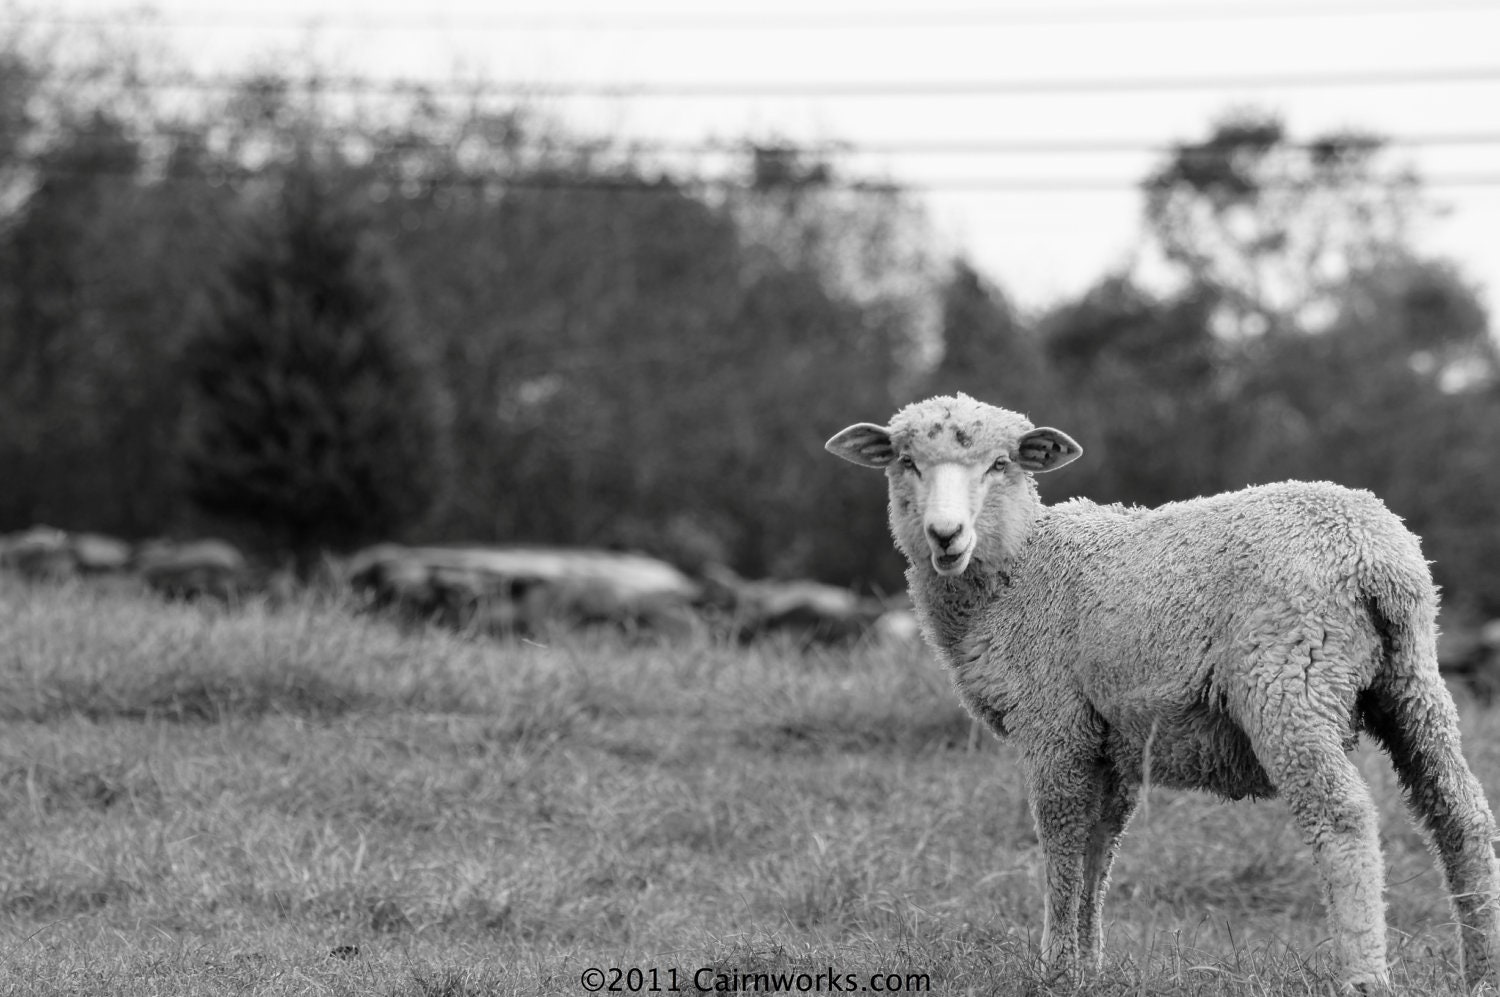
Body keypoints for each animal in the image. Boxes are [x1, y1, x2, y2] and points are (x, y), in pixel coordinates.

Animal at [825, 392, 1500, 992]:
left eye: (1001, 464)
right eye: (905, 462)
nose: (946, 534)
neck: (1018, 571)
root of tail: (1374, 553)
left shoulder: (1054, 721)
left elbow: (1062, 840)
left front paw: (1054, 970)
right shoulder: (1110, 738)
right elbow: (1098, 847)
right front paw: (1088, 968)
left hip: (1290, 679)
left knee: (1343, 815)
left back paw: (1364, 976)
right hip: (1412, 680)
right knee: (1461, 816)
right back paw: (1481, 971)